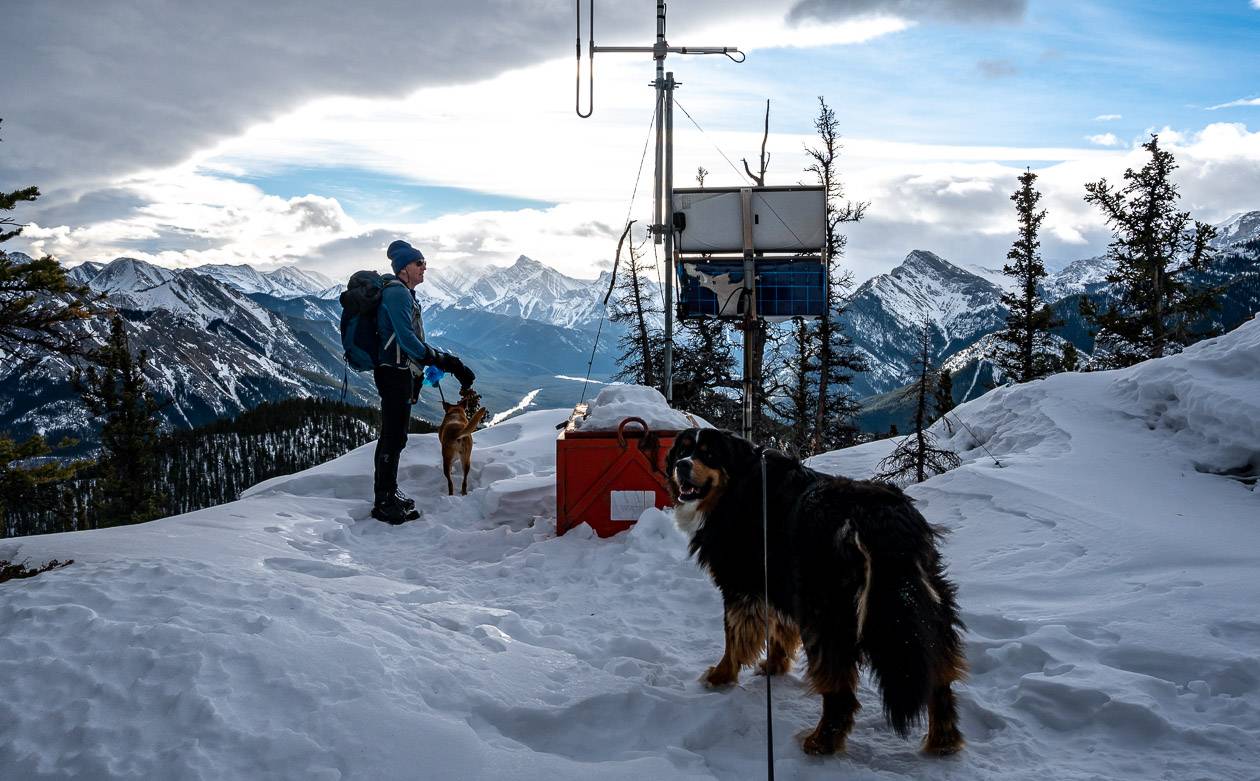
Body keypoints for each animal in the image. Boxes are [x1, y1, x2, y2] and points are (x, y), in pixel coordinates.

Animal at [670, 428, 962, 755]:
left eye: (708, 454)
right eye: (682, 450)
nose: (681, 465)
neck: (737, 484)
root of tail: (879, 518)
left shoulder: (741, 587)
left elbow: (734, 637)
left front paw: (721, 676)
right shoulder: (779, 583)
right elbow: (779, 630)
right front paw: (774, 666)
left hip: (827, 615)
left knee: (840, 691)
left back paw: (822, 741)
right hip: (926, 607)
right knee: (939, 675)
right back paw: (943, 741)